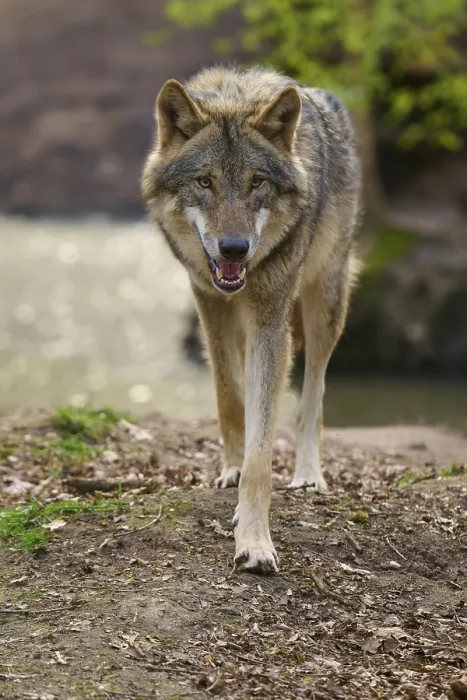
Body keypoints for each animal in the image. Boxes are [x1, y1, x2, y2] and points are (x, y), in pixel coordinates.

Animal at [141, 65, 361, 574]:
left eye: (257, 182)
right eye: (204, 182)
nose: (235, 249)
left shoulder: (270, 320)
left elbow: (263, 450)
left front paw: (255, 541)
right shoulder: (209, 303)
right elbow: (228, 397)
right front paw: (233, 469)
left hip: (325, 303)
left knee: (314, 392)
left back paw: (308, 473)